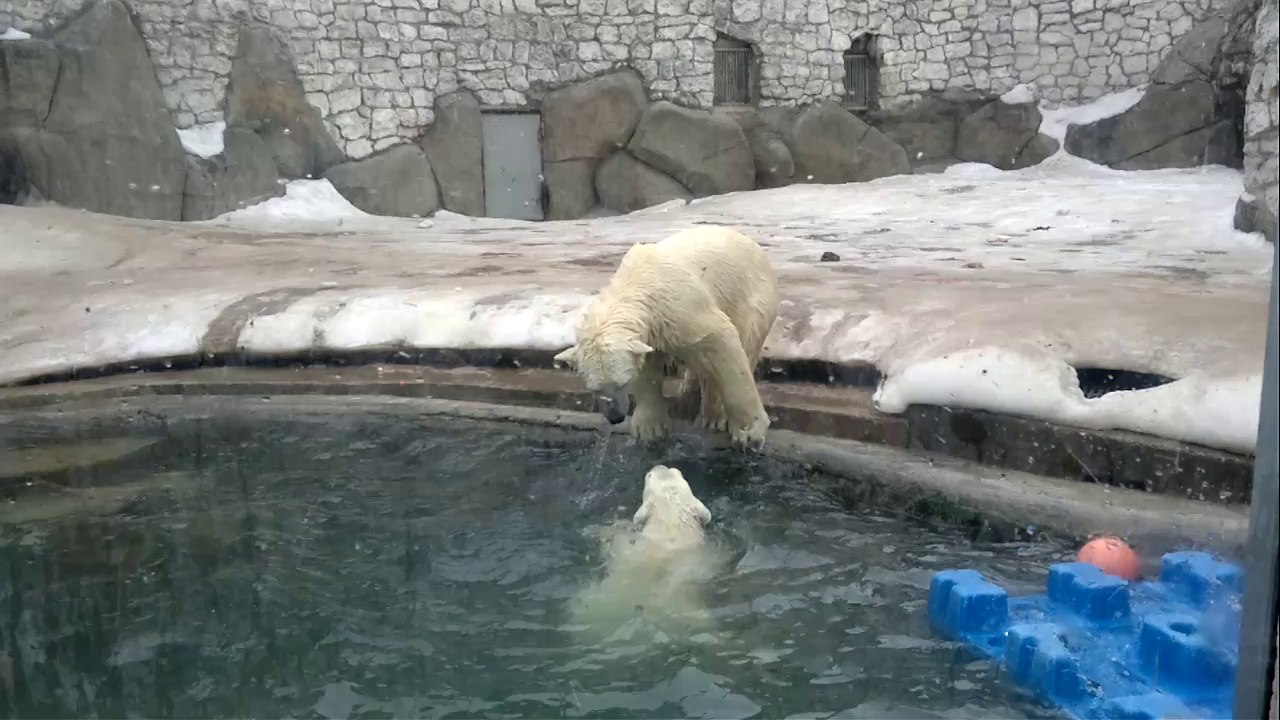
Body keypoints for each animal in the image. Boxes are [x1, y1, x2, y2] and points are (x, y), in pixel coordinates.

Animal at [554, 225, 780, 450]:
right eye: (594, 388)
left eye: (622, 383)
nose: (615, 417)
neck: (636, 282)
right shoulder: (652, 328)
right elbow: (647, 366)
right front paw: (650, 430)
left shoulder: (680, 308)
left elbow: (721, 341)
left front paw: (748, 432)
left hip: (753, 299)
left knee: (743, 343)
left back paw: (712, 415)